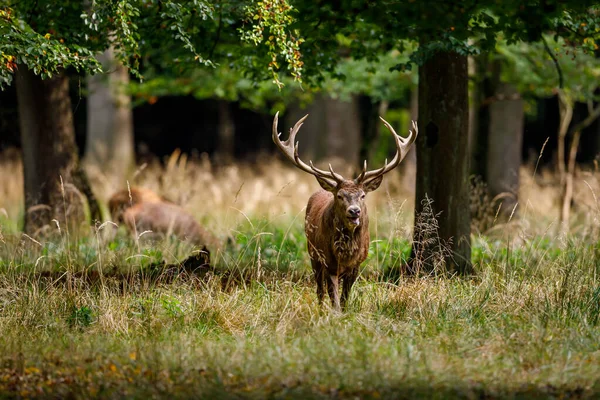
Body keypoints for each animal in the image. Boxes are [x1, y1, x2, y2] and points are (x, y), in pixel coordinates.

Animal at [272, 112, 418, 312]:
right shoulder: (327, 262)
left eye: (363, 195)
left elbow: (345, 296)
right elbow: (333, 296)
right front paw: (336, 314)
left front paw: (345, 311)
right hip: (312, 253)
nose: (354, 211)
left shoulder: (357, 264)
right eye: (340, 195)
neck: (346, 254)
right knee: (319, 290)